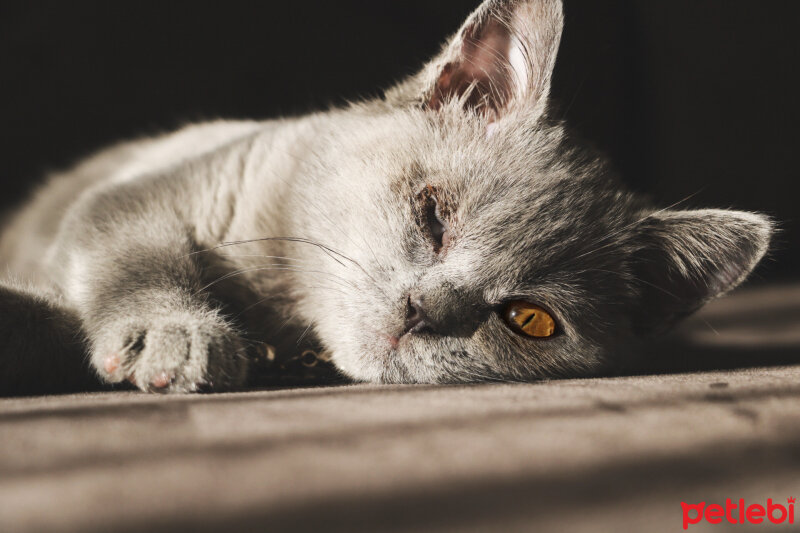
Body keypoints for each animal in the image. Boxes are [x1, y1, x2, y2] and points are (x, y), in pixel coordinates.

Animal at [0, 0, 776, 392]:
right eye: (432, 216)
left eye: (530, 319)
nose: (421, 310)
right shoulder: (147, 191)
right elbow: (135, 253)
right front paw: (174, 332)